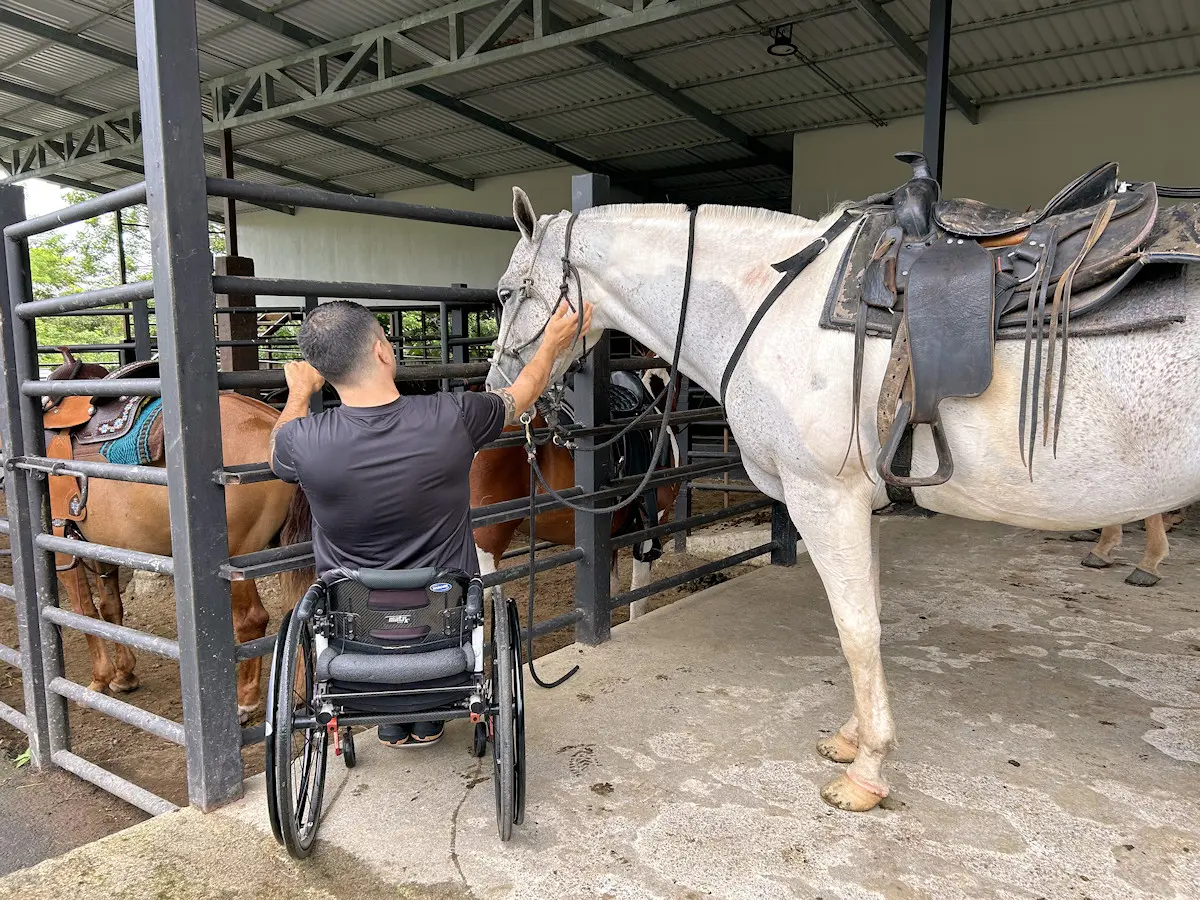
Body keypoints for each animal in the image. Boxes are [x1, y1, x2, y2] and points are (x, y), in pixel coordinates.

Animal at [26, 358, 302, 722]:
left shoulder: (61, 545)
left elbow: (83, 611)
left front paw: (99, 679)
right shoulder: (102, 549)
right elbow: (110, 608)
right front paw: (124, 675)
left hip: (240, 559)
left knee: (252, 620)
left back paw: (245, 701)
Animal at [487, 188, 1200, 812]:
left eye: (504, 293)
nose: (499, 391)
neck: (774, 305)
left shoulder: (825, 500)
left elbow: (855, 630)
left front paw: (868, 772)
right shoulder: (862, 506)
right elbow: (869, 622)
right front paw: (854, 740)